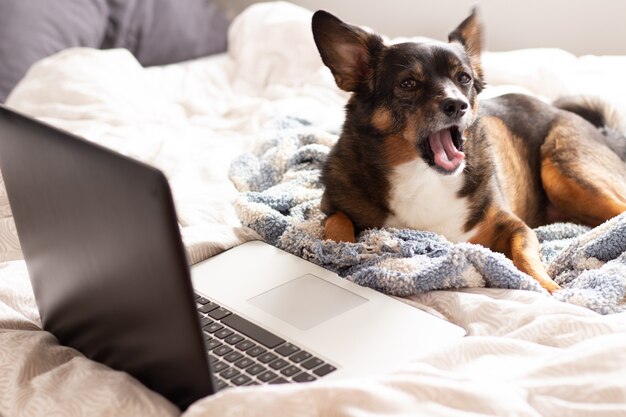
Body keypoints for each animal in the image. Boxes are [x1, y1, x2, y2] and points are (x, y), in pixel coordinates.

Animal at [310, 8, 624, 290]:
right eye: (408, 83)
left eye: (464, 78)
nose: (457, 105)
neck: (424, 177)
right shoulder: (331, 205)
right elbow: (337, 223)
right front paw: (344, 251)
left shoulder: (515, 227)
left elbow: (525, 256)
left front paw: (548, 288)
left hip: (566, 172)